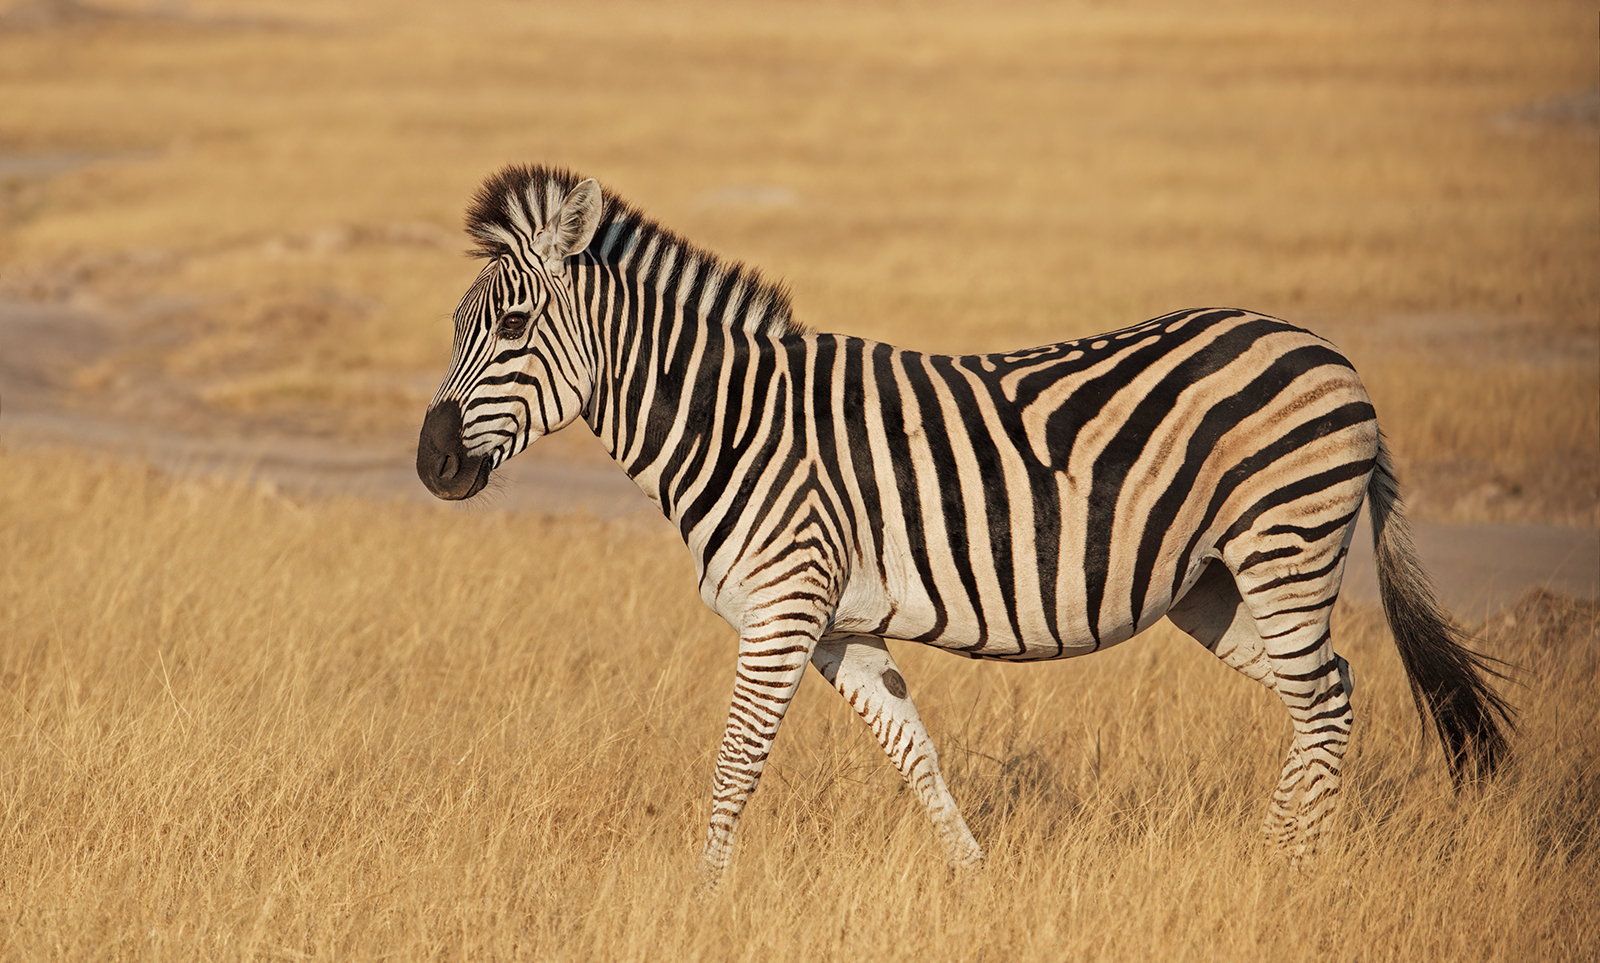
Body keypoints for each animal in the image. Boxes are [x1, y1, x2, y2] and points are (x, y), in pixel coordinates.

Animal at [416, 165, 1513, 889]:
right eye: (458, 326)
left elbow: (736, 764)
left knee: (1322, 698)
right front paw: (975, 882)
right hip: (1214, 585)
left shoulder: (781, 612)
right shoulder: (841, 628)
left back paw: (1288, 870)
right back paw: (1277, 859)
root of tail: (1329, 352)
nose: (430, 465)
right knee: (1329, 692)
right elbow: (916, 754)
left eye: (509, 326)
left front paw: (705, 899)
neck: (734, 422)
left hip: (1285, 544)